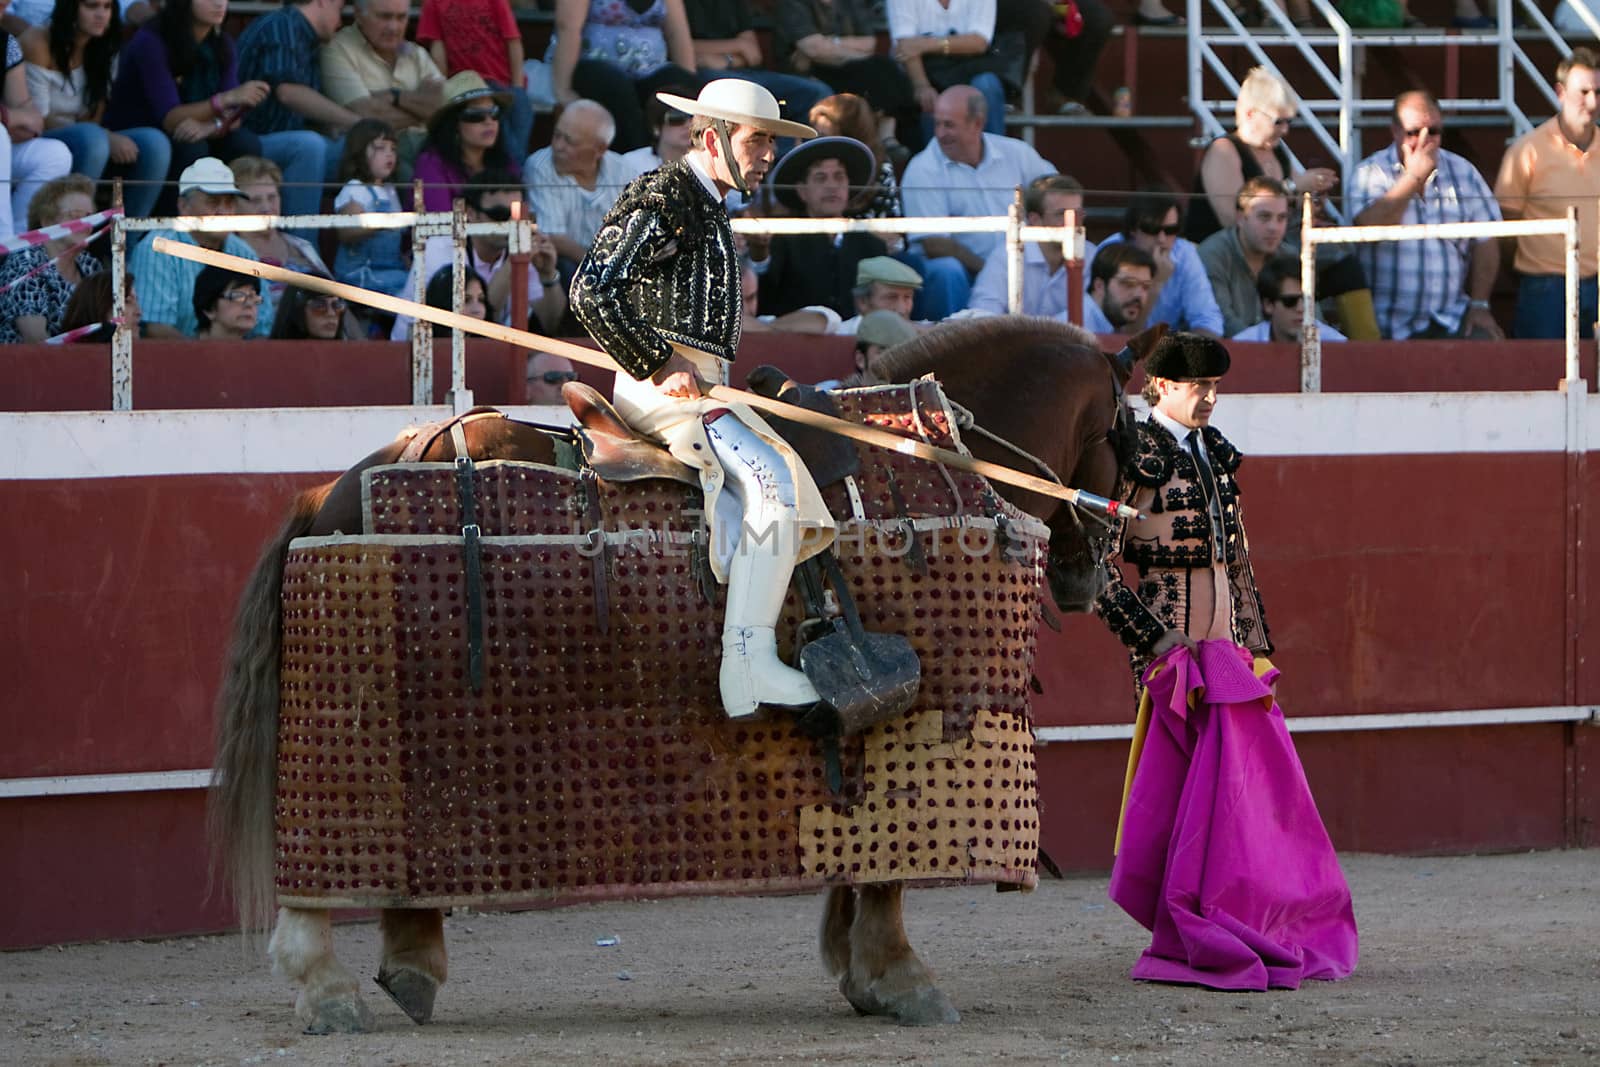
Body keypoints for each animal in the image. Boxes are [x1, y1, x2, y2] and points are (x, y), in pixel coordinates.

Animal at [212, 319, 1158, 1036]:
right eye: (1140, 447)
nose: (1093, 575)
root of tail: (335, 489)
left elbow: (860, 852)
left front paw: (859, 968)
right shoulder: (919, 718)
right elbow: (890, 869)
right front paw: (900, 975)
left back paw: (409, 965)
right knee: (327, 822)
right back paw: (324, 983)